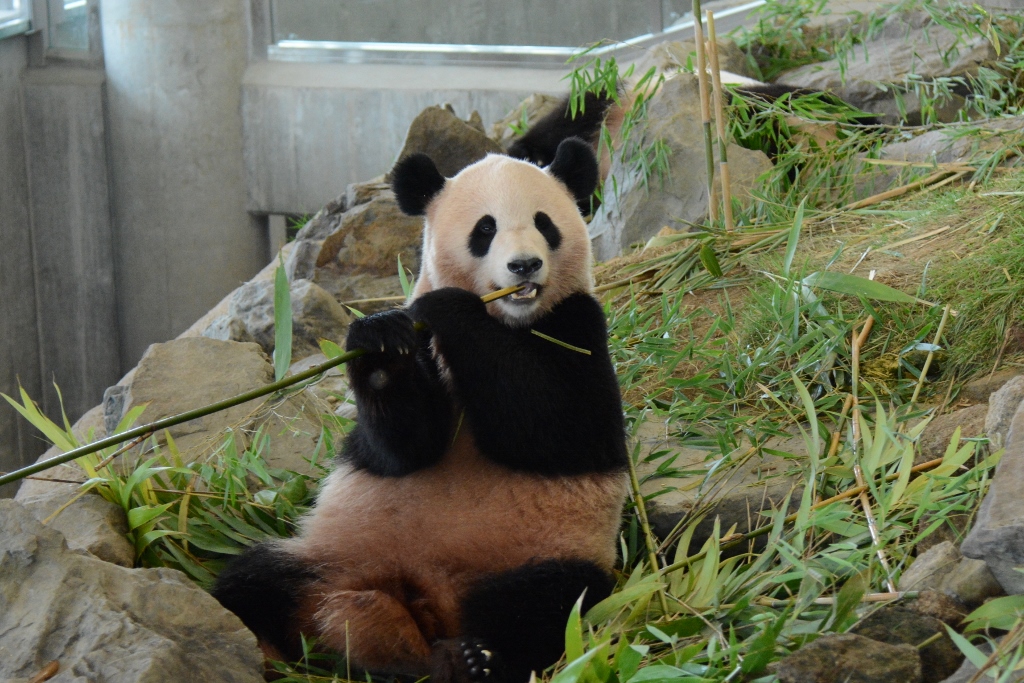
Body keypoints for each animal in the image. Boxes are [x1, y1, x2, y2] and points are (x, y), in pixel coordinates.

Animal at [214, 137, 630, 683]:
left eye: (544, 223)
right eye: (485, 229)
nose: (523, 266)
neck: (508, 319)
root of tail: (423, 604)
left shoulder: (579, 326)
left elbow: (559, 428)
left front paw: (453, 309)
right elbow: (403, 447)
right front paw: (380, 345)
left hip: (539, 550)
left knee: (547, 602)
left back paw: (475, 658)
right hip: (335, 554)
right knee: (256, 581)